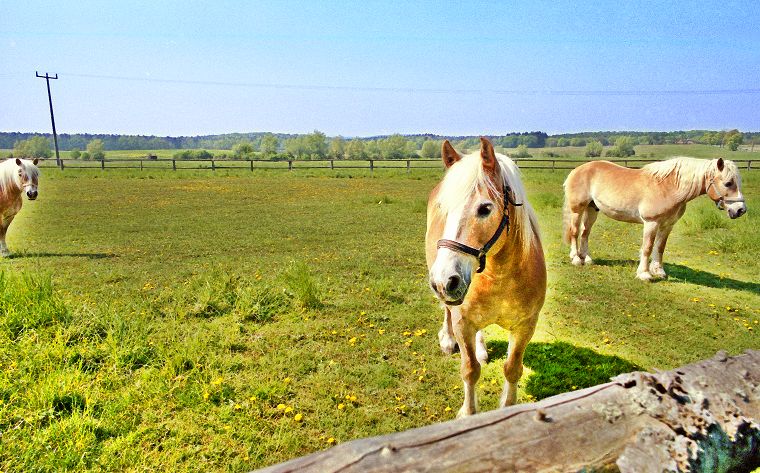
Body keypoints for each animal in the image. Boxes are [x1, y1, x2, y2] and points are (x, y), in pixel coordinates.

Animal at [428, 136, 548, 416]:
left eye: (485, 208)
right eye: (443, 209)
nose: (444, 281)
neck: (500, 276)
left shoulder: (526, 326)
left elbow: (512, 369)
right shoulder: (462, 322)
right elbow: (470, 370)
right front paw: (468, 414)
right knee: (446, 310)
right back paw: (447, 340)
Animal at [564, 157, 748, 278]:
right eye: (728, 183)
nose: (740, 210)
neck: (669, 187)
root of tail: (577, 170)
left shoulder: (667, 225)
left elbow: (660, 247)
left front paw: (659, 271)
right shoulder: (651, 223)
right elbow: (647, 247)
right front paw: (644, 274)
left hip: (592, 209)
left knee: (585, 233)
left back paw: (586, 258)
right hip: (577, 210)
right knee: (575, 232)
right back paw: (576, 259)